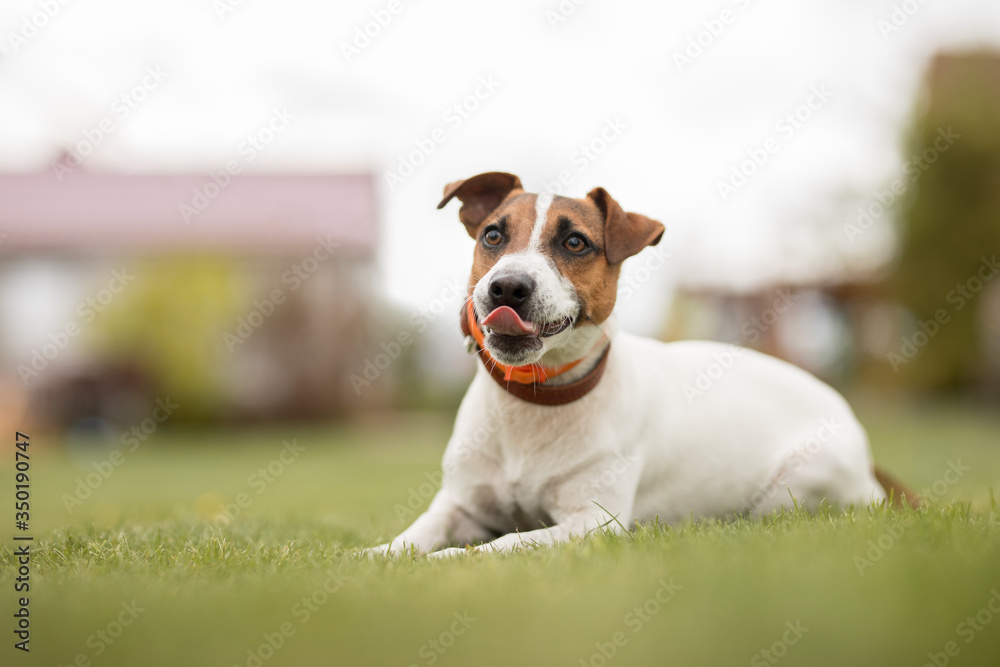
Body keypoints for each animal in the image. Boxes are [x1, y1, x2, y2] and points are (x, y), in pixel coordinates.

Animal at [368, 172, 916, 560]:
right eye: (492, 235)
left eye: (575, 243)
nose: (507, 287)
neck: (537, 401)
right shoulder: (460, 503)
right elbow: (417, 533)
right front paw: (377, 554)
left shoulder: (592, 522)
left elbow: (502, 544)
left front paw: (448, 561)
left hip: (800, 480)